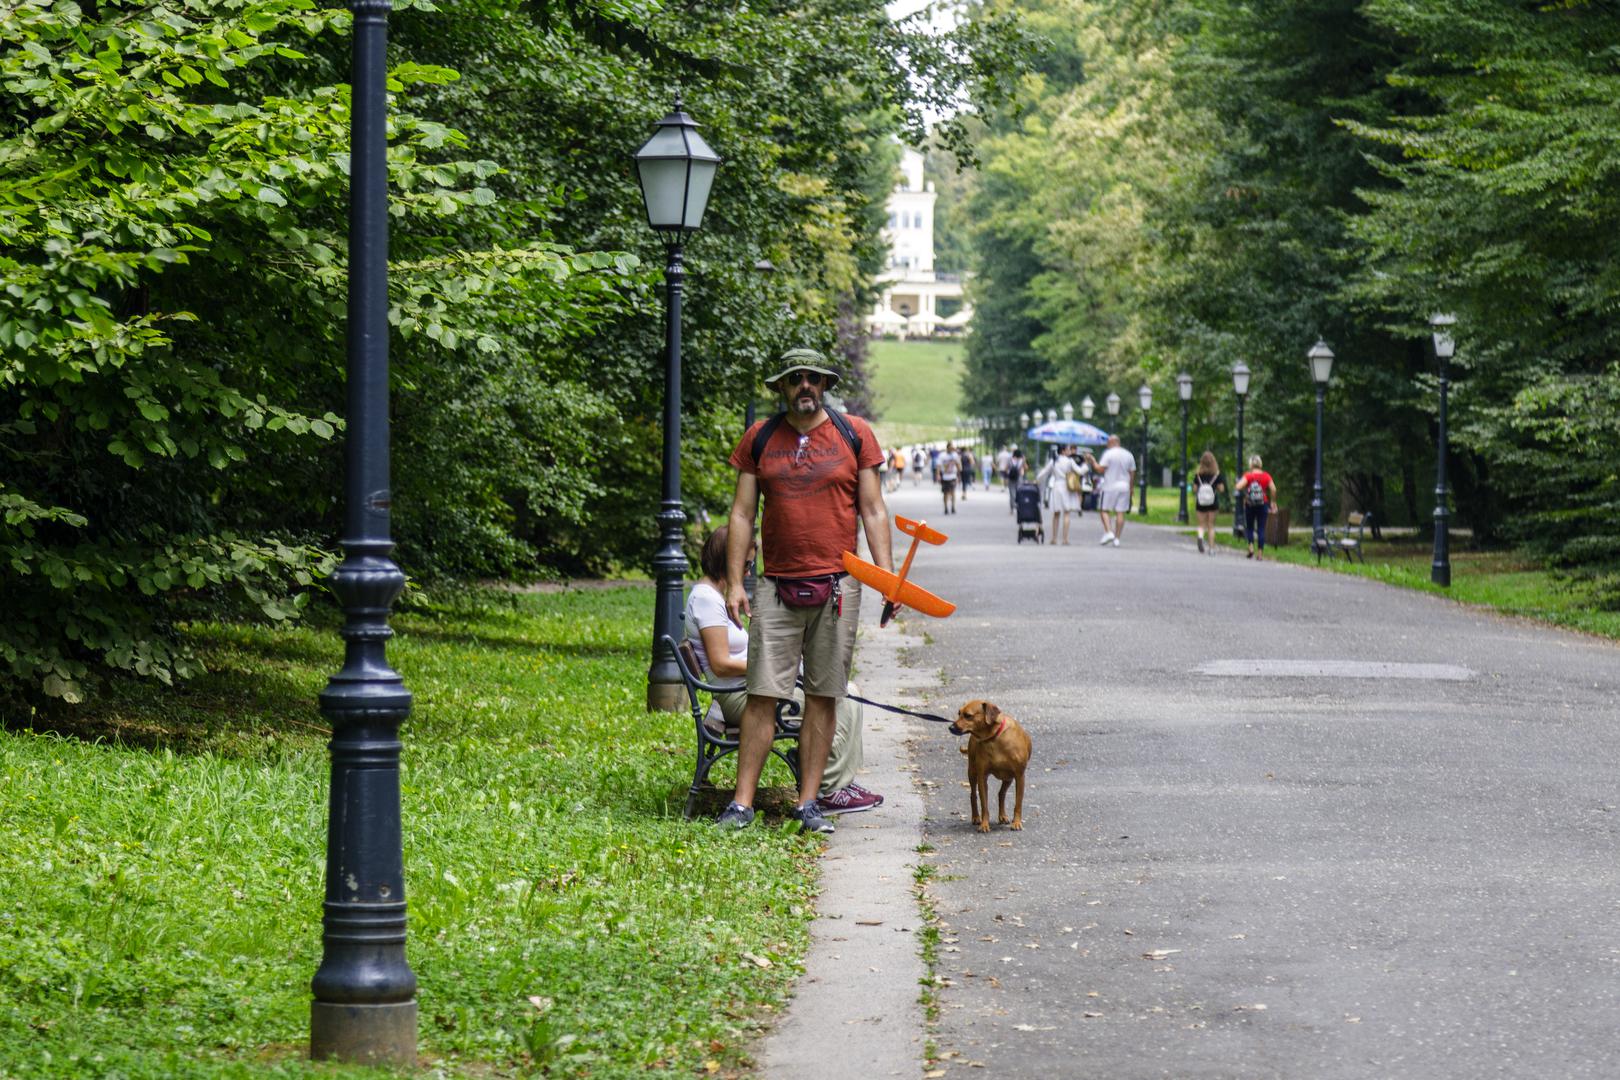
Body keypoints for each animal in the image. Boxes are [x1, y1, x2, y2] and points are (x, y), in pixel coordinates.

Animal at [952, 702, 1030, 835]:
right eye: (959, 713)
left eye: (968, 715)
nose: (951, 727)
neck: (994, 737)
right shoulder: (982, 777)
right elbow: (984, 805)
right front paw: (984, 824)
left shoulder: (1019, 776)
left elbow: (1018, 803)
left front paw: (1016, 822)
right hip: (972, 772)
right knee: (973, 795)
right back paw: (976, 817)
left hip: (1008, 778)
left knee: (1001, 794)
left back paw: (1002, 816)